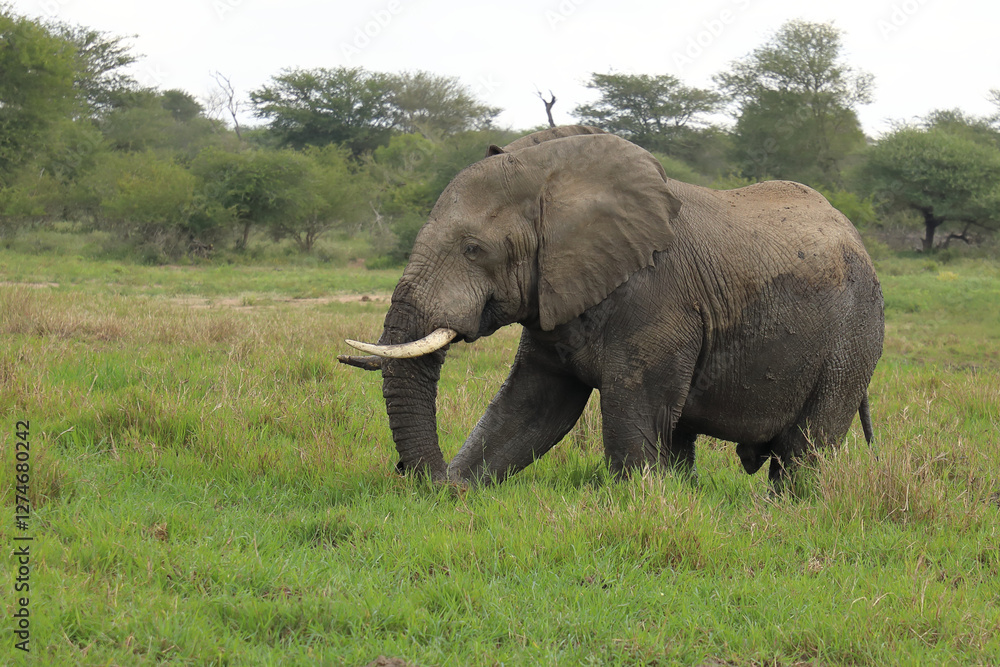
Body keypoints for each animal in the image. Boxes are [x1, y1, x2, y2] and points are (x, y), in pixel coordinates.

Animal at [340, 126, 884, 490]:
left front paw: (639, 501)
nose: (419, 476)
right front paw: (461, 490)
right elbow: (533, 408)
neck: (555, 178)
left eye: (474, 249)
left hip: (853, 338)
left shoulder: (658, 299)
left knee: (806, 448)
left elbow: (628, 413)